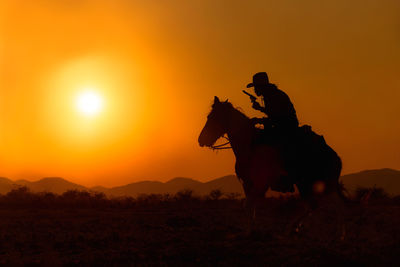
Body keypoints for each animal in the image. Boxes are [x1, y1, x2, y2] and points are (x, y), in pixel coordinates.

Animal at [198, 97, 346, 239]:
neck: (250, 146)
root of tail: (335, 156)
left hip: (310, 182)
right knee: (324, 204)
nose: (201, 140)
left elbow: (248, 205)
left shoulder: (260, 183)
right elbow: (249, 207)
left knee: (321, 205)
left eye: (214, 117)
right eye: (209, 116)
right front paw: (250, 231)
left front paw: (249, 232)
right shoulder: (247, 183)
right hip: (314, 183)